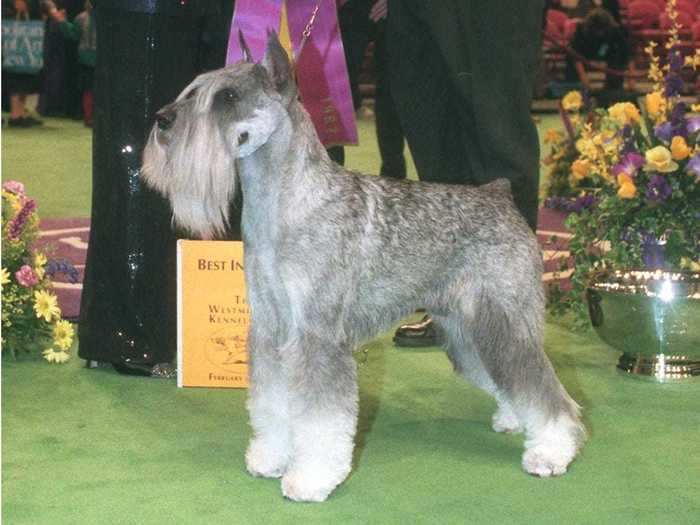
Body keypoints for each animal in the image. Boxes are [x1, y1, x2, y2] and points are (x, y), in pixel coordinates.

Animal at [142, 33, 584, 504]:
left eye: (228, 96)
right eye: (193, 89)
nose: (162, 120)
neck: (288, 203)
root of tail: (499, 195)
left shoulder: (317, 336)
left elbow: (320, 420)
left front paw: (310, 479)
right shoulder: (270, 330)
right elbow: (272, 403)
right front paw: (269, 457)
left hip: (505, 320)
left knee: (545, 389)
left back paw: (551, 452)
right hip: (467, 333)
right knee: (508, 378)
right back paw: (515, 420)